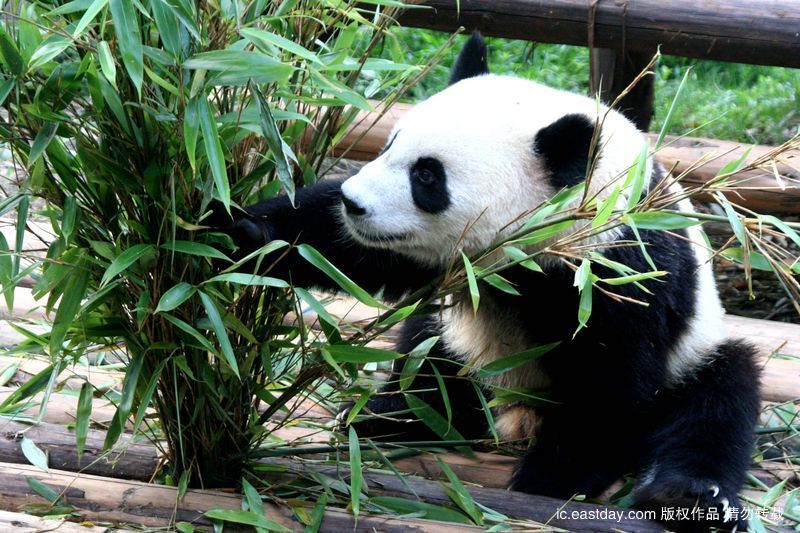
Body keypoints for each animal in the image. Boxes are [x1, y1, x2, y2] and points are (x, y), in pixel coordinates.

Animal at [216, 35, 760, 528]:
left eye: (427, 177)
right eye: (390, 144)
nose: (355, 203)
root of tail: (513, 414)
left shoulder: (620, 263)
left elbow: (614, 381)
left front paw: (555, 474)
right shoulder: (443, 262)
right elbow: (339, 245)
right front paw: (240, 232)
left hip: (696, 353)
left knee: (717, 403)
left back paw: (690, 495)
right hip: (459, 345)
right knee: (431, 368)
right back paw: (391, 417)